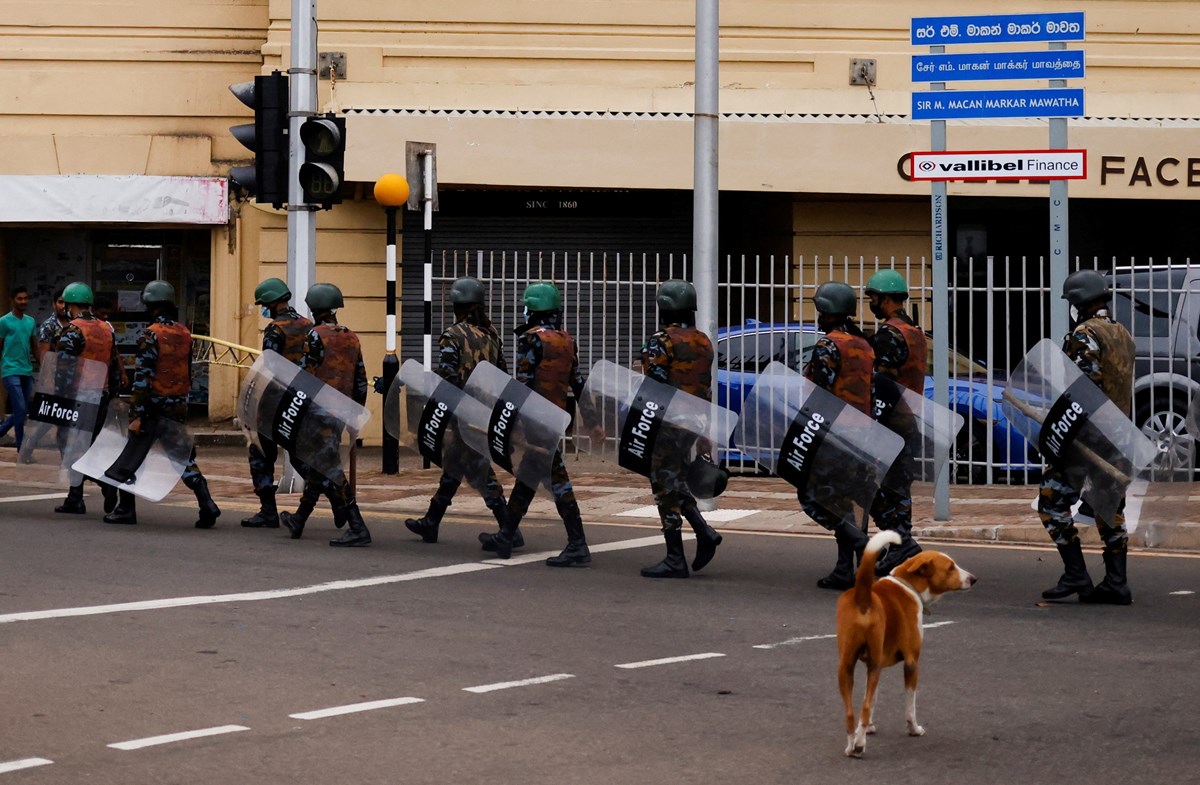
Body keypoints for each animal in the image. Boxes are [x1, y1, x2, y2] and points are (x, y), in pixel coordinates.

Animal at [835, 532, 974, 758]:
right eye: (950, 567)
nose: (973, 578)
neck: (907, 585)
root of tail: (863, 597)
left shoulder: (872, 666)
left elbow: (871, 698)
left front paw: (868, 728)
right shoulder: (911, 662)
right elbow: (910, 706)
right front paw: (914, 729)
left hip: (847, 666)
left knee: (851, 712)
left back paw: (850, 745)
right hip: (873, 664)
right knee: (863, 710)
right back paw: (859, 745)